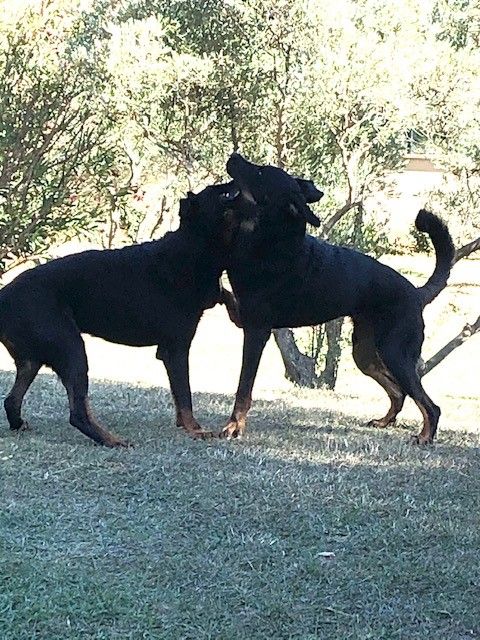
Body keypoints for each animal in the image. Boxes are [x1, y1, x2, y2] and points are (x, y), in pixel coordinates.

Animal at [0, 182, 239, 448]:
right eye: (221, 193)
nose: (236, 182)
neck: (193, 247)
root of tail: (4, 297)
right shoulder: (176, 348)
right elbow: (185, 394)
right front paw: (195, 430)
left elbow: (224, 293)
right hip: (71, 349)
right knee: (78, 413)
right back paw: (113, 440)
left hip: (32, 360)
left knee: (11, 400)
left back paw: (20, 424)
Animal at [221, 154, 454, 444]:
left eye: (261, 172)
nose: (234, 156)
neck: (269, 240)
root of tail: (416, 292)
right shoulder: (242, 316)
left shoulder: (255, 331)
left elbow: (244, 388)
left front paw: (234, 426)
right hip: (365, 353)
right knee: (398, 392)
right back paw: (384, 421)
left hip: (395, 353)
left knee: (429, 405)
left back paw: (424, 436)